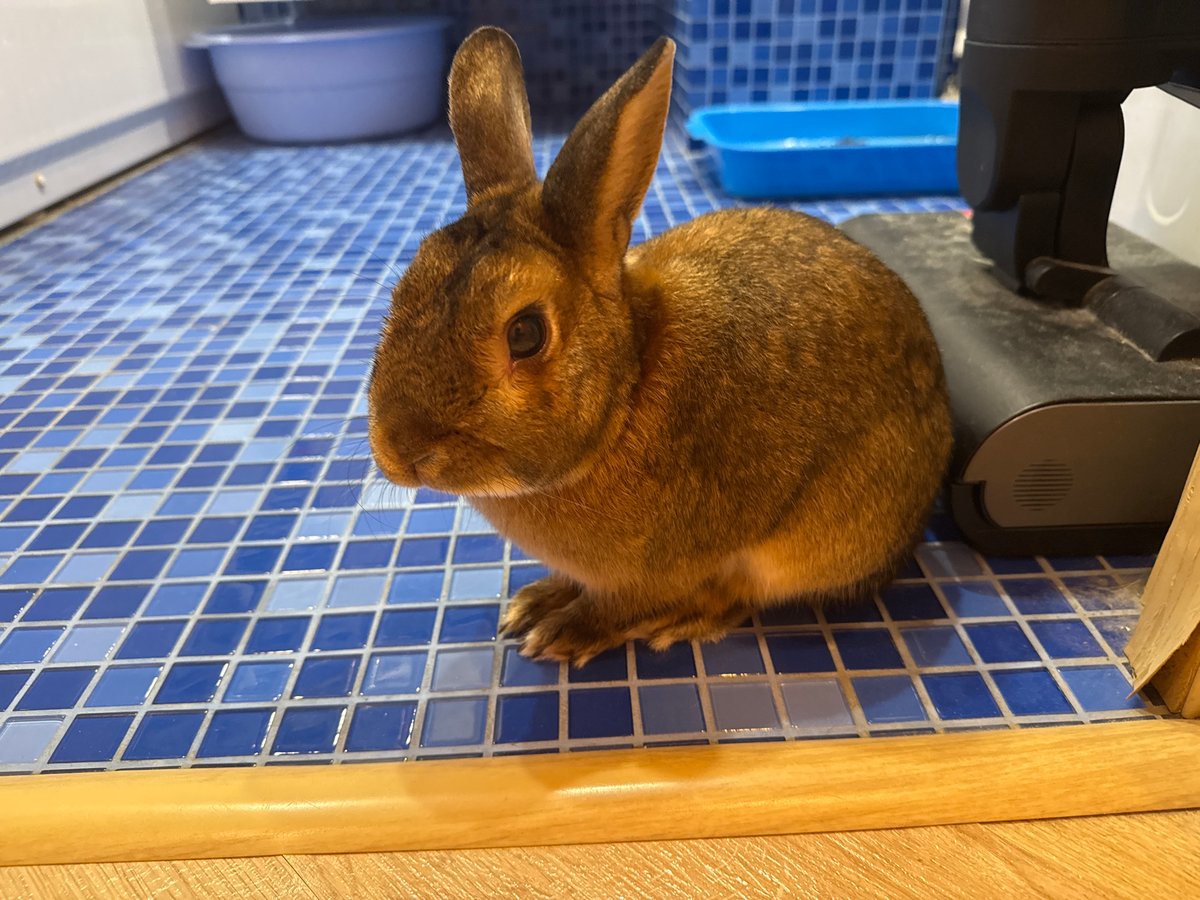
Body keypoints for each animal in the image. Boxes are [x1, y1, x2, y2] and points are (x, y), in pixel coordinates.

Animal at [368, 27, 953, 665]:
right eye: (406, 286)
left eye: (525, 334)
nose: (400, 452)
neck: (625, 396)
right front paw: (534, 604)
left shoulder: (656, 572)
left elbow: (619, 606)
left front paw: (564, 634)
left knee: (742, 596)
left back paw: (683, 622)